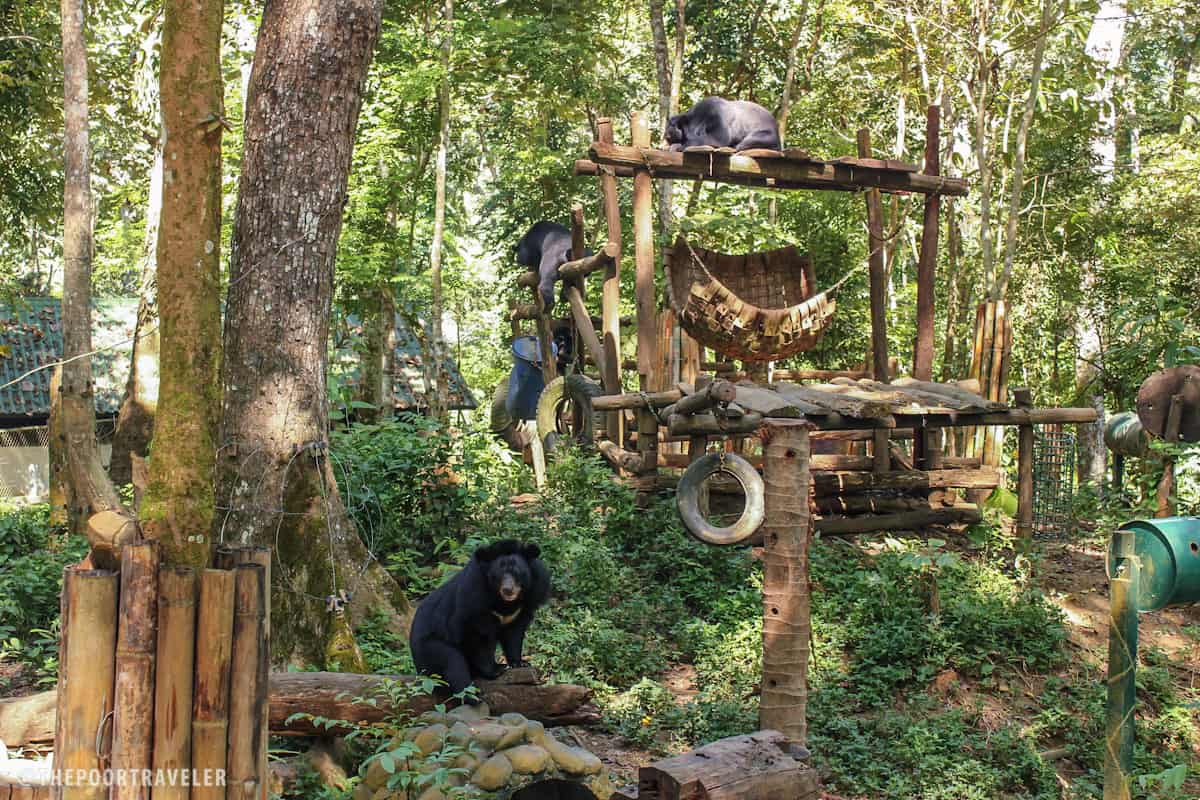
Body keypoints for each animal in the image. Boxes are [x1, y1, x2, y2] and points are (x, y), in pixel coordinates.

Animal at [408, 537, 549, 700]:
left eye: (518, 572)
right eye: (498, 575)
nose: (508, 590)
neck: (505, 602)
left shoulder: (528, 600)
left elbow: (514, 633)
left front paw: (520, 663)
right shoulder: (475, 598)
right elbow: (481, 638)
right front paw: (496, 669)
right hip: (430, 646)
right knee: (453, 663)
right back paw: (473, 695)